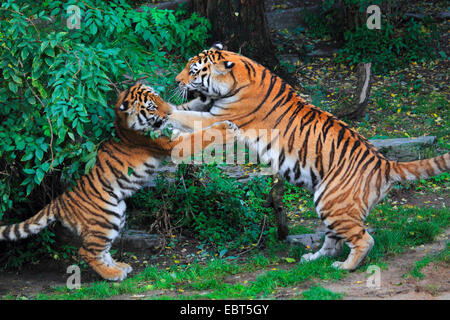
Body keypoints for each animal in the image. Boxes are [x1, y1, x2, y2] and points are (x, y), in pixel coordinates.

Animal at [0, 82, 239, 280]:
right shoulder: (173, 143)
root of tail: (59, 200)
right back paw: (113, 275)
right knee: (87, 251)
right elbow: (200, 136)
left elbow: (187, 110)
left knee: (101, 250)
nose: (168, 111)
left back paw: (119, 267)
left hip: (117, 214)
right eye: (152, 106)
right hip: (106, 217)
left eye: (159, 97)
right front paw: (227, 127)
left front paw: (204, 100)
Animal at [168, 43, 450, 272]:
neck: (238, 78)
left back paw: (344, 267)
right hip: (333, 207)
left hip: (332, 202)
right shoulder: (206, 106)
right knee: (333, 242)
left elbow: (185, 116)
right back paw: (312, 259)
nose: (176, 80)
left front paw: (166, 118)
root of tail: (385, 163)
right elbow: (184, 110)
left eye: (193, 71)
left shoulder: (219, 117)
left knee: (363, 239)